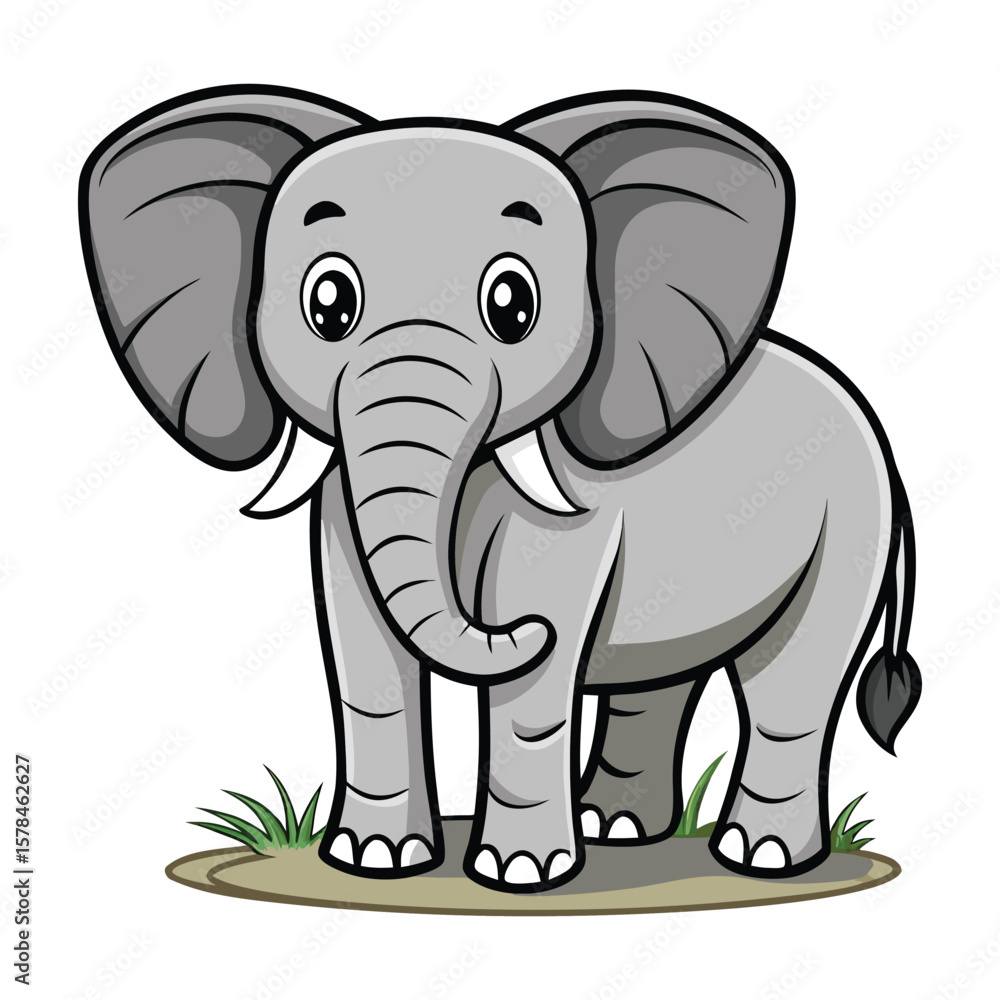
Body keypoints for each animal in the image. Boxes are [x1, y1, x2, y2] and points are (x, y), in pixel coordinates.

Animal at [80, 86, 921, 893]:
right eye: (328, 306)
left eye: (513, 307)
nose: (518, 630)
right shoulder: (341, 495)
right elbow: (364, 653)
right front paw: (373, 858)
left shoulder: (573, 514)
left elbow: (535, 662)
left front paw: (518, 875)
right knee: (663, 680)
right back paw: (618, 829)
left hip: (849, 527)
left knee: (787, 684)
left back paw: (761, 856)